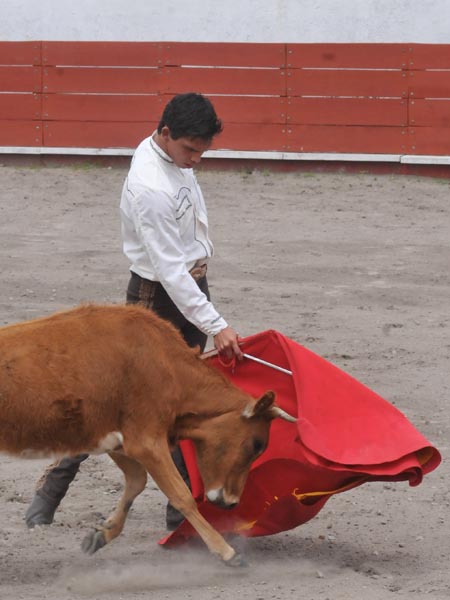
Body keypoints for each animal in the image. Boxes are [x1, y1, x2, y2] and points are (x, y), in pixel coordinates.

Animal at [0, 308, 296, 564]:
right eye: (256, 445)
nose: (231, 503)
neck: (168, 367)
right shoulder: (147, 442)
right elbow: (182, 495)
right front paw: (227, 552)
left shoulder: (117, 442)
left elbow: (136, 482)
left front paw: (101, 534)